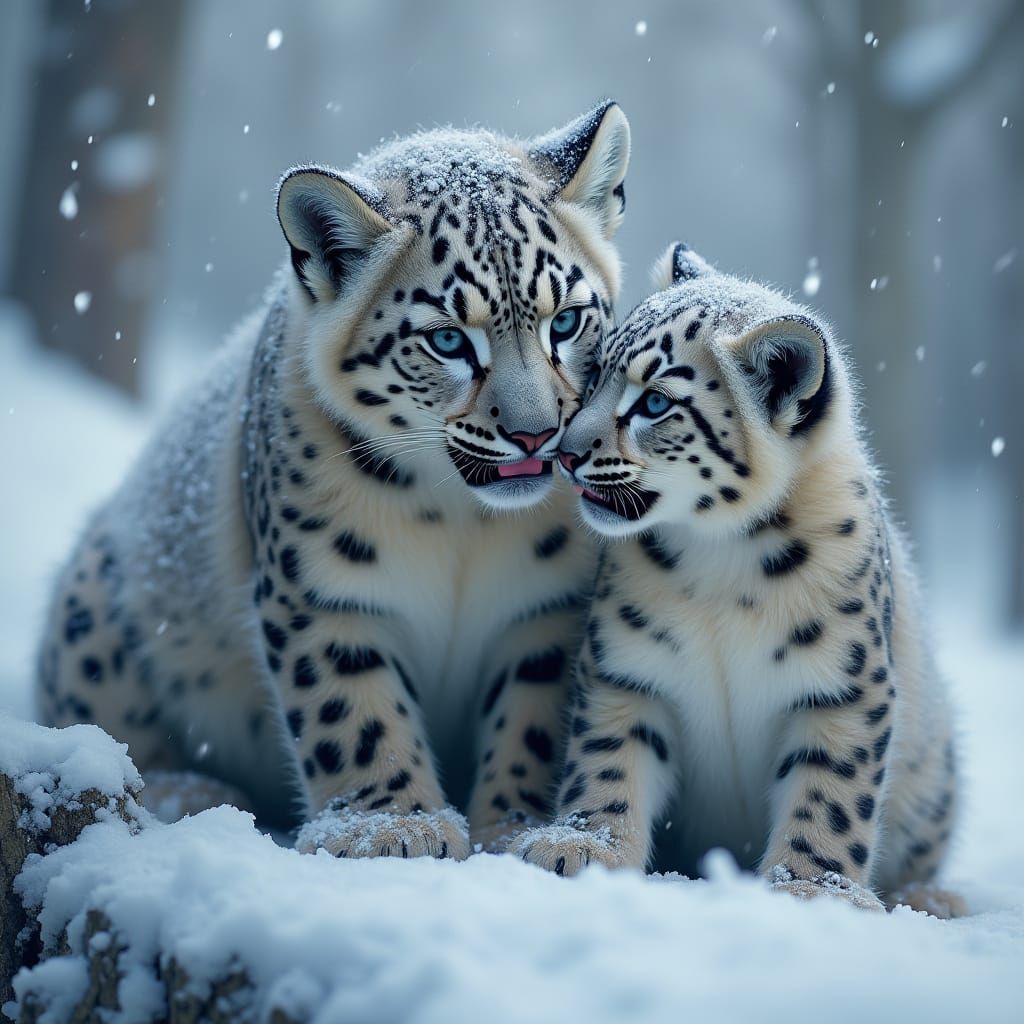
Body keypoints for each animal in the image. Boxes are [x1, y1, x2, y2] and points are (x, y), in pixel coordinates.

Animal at [35, 101, 632, 861]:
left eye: (568, 320)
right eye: (447, 339)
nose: (536, 434)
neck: (461, 522)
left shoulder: (544, 605)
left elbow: (530, 719)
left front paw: (516, 828)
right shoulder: (320, 588)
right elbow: (353, 710)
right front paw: (394, 826)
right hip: (95, 608)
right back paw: (188, 791)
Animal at [513, 243, 964, 917]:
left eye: (654, 402)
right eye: (593, 378)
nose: (565, 453)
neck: (723, 560)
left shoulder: (844, 686)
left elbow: (830, 794)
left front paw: (811, 887)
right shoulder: (627, 669)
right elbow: (608, 759)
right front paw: (582, 847)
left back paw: (934, 897)